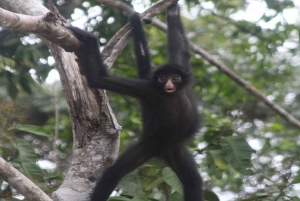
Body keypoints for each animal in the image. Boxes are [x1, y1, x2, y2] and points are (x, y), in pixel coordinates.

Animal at [67, 1, 203, 201]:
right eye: (163, 78)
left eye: (175, 78)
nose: (169, 84)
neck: (170, 95)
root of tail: (162, 150)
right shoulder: (147, 90)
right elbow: (99, 79)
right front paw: (90, 39)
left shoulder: (181, 74)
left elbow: (180, 49)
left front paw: (172, 10)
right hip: (149, 144)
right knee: (113, 173)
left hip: (175, 149)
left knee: (193, 182)